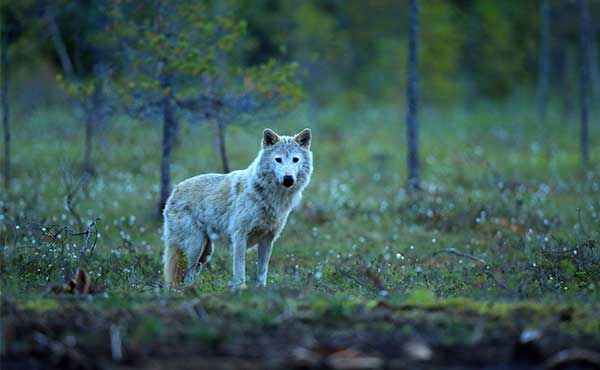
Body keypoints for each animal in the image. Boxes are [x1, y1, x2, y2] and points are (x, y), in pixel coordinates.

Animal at [163, 129, 314, 288]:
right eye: (278, 159)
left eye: (295, 159)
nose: (288, 179)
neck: (271, 197)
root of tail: (174, 190)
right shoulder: (240, 236)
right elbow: (240, 271)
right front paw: (240, 290)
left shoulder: (267, 240)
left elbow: (262, 273)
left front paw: (261, 290)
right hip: (196, 246)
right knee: (187, 276)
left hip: (206, 252)